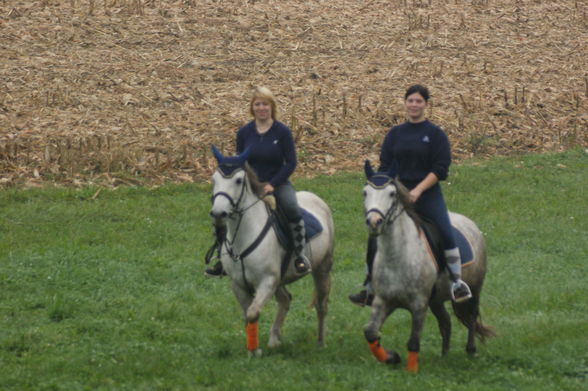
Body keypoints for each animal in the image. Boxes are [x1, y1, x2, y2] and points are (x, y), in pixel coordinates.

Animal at [209, 146, 334, 356]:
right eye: (214, 179)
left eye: (238, 180)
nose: (218, 213)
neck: (244, 237)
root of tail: (316, 198)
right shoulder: (239, 284)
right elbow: (248, 315)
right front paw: (252, 350)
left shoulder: (266, 281)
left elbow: (253, 313)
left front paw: (255, 351)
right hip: (280, 278)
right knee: (285, 300)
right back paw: (275, 339)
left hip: (322, 268)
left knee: (321, 305)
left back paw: (321, 342)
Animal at [360, 162, 494, 374]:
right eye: (365, 192)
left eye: (391, 193)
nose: (374, 222)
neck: (397, 257)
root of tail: (471, 225)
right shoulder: (384, 300)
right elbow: (371, 332)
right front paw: (391, 357)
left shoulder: (419, 304)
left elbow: (413, 342)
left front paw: (411, 371)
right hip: (436, 300)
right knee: (446, 322)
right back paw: (444, 356)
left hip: (474, 288)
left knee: (471, 317)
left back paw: (471, 350)